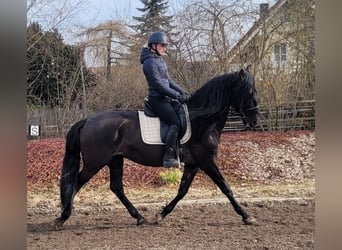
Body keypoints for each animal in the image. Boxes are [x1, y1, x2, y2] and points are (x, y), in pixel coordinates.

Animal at [53, 67, 260, 230]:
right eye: (249, 91)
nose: (255, 121)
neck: (203, 121)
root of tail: (87, 120)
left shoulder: (193, 164)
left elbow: (182, 191)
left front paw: (161, 215)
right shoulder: (207, 161)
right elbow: (226, 187)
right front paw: (246, 216)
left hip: (115, 160)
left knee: (116, 187)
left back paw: (139, 218)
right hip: (95, 163)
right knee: (76, 183)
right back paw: (62, 217)